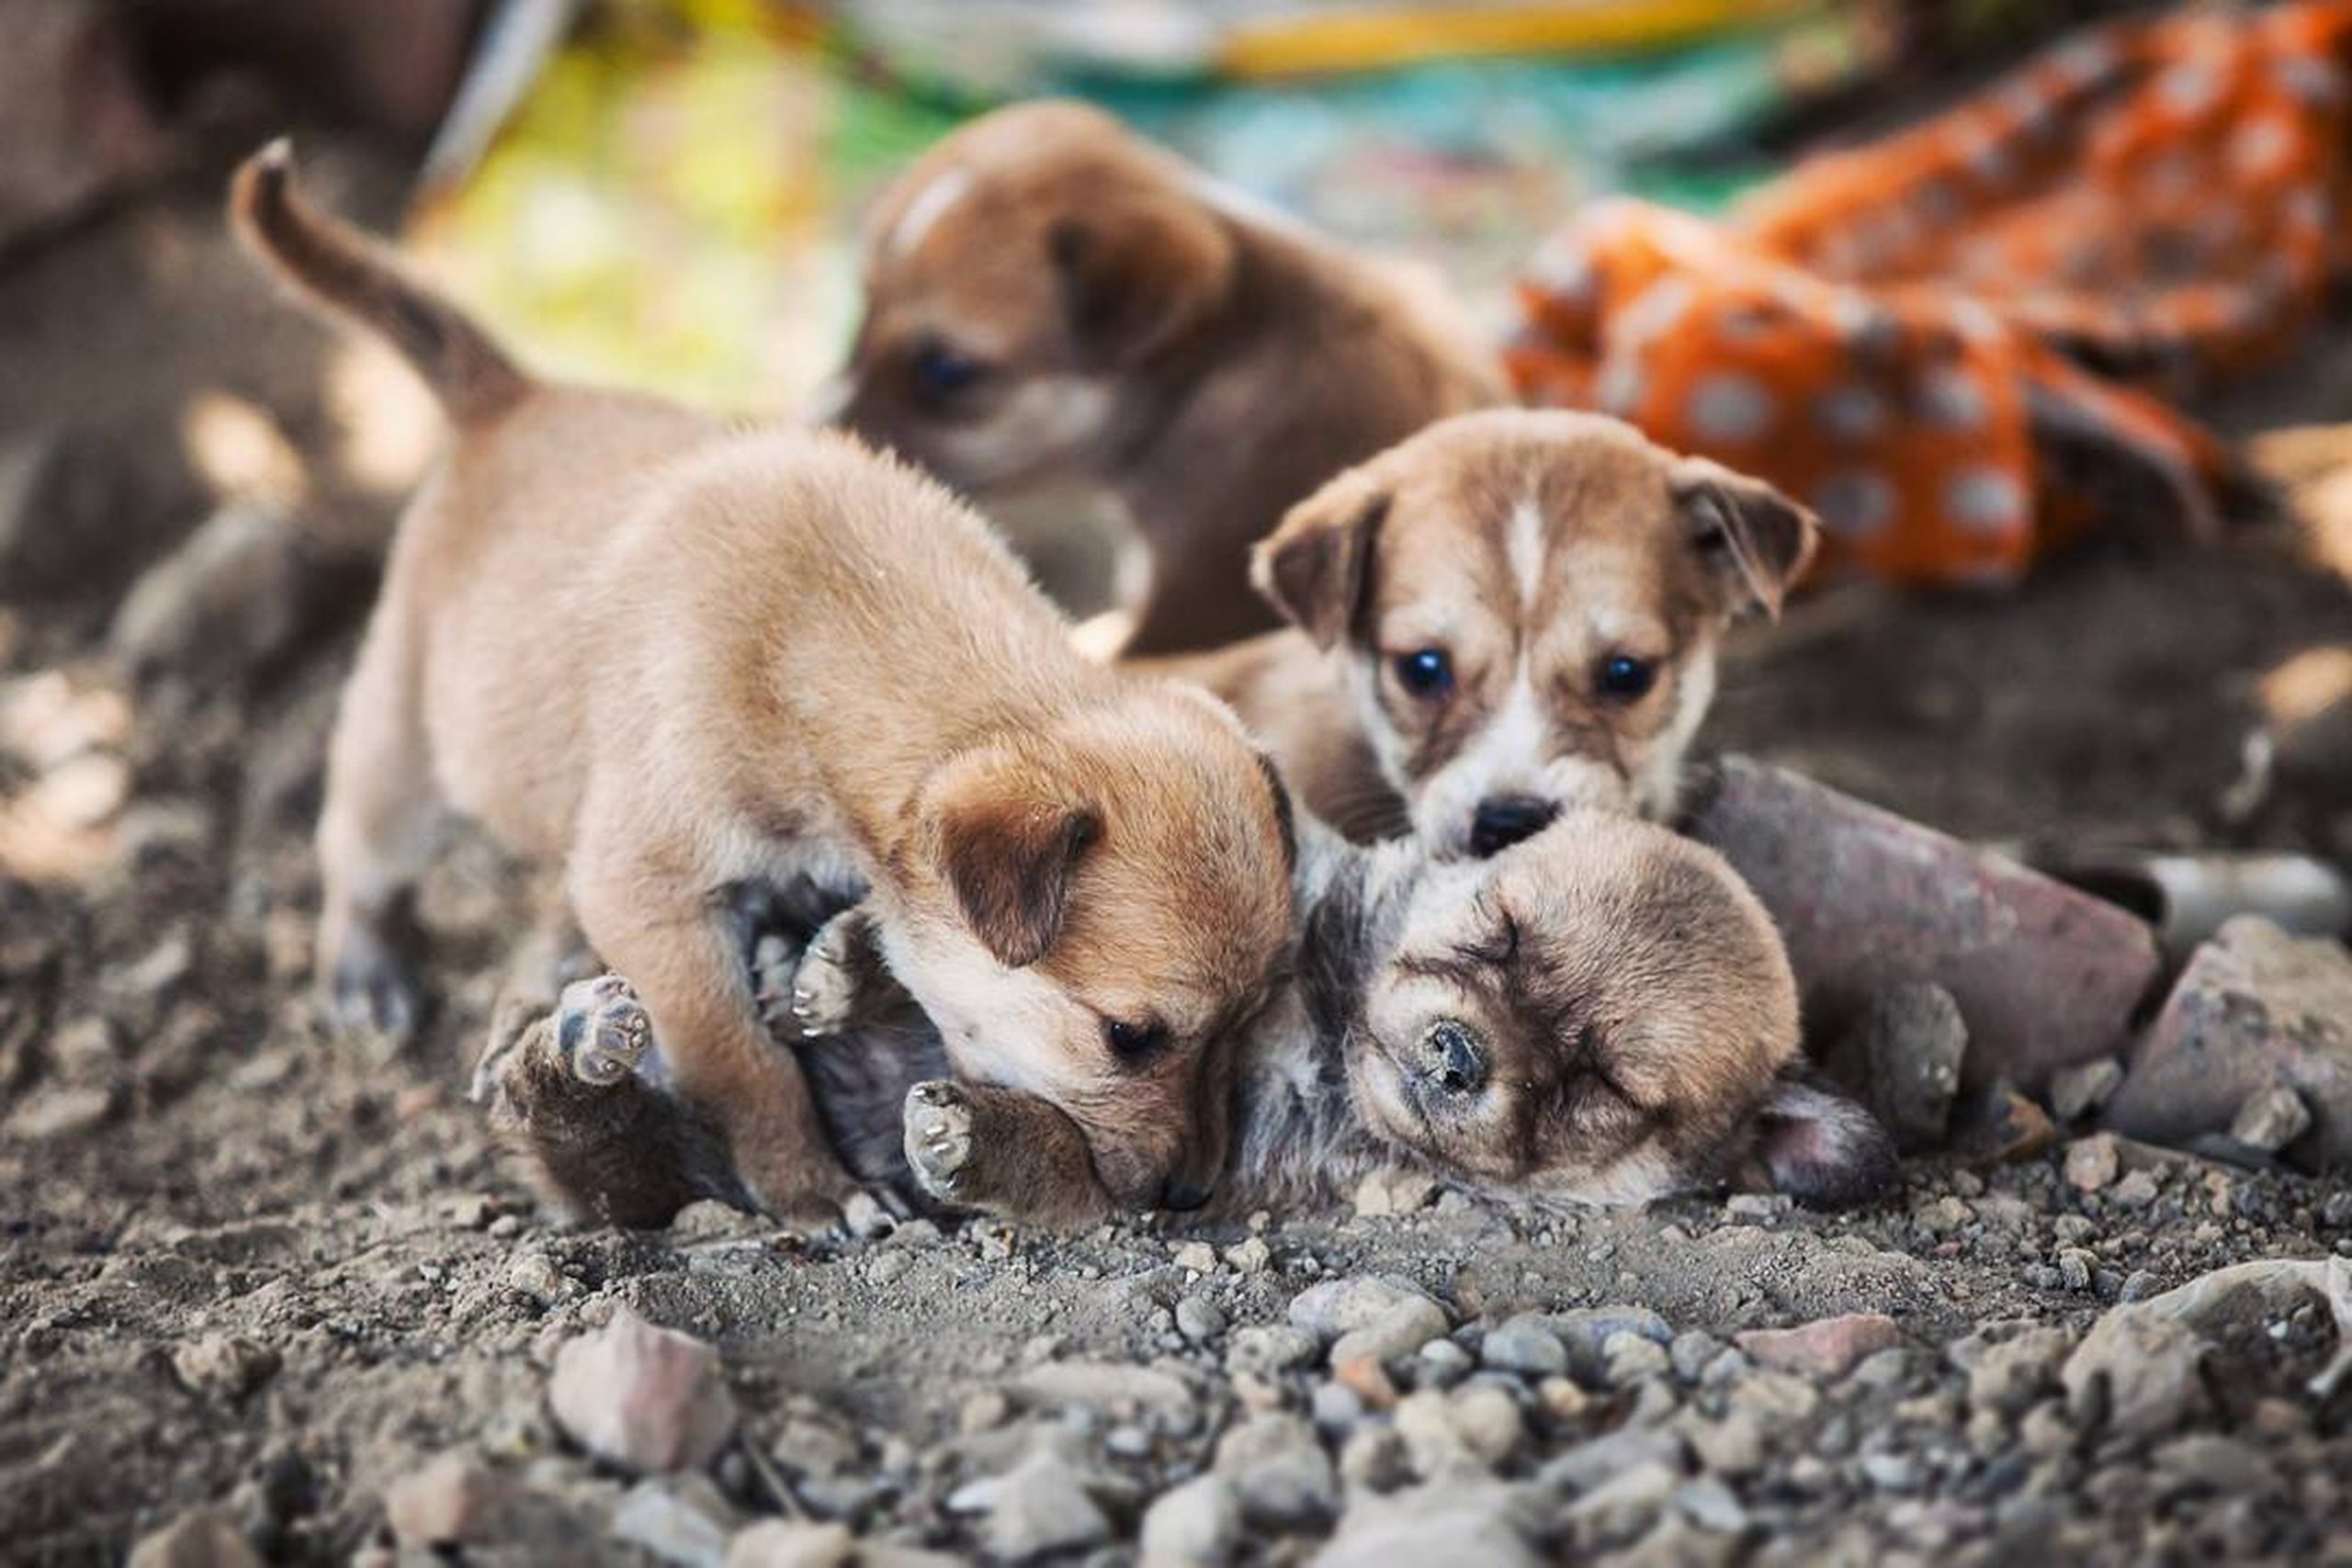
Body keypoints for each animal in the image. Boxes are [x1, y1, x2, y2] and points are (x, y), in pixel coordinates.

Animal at [229, 143, 1298, 1222]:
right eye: (1130, 1037)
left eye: (1254, 1015)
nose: (1192, 1192)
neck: (823, 652)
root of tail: (509, 397)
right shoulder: (652, 896)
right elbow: (744, 1062)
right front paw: (813, 1191)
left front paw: (824, 971)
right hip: (403, 744)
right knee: (359, 850)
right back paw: (366, 970)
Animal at [477, 818, 1891, 1232]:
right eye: (1499, 930)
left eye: (1599, 1083)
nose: (1458, 1051)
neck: (1327, 1030)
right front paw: (842, 963)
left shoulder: (1178, 1179)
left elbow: (1067, 1153)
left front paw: (977, 1138)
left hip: (650, 1170)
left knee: (585, 1151)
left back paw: (580, 1063)